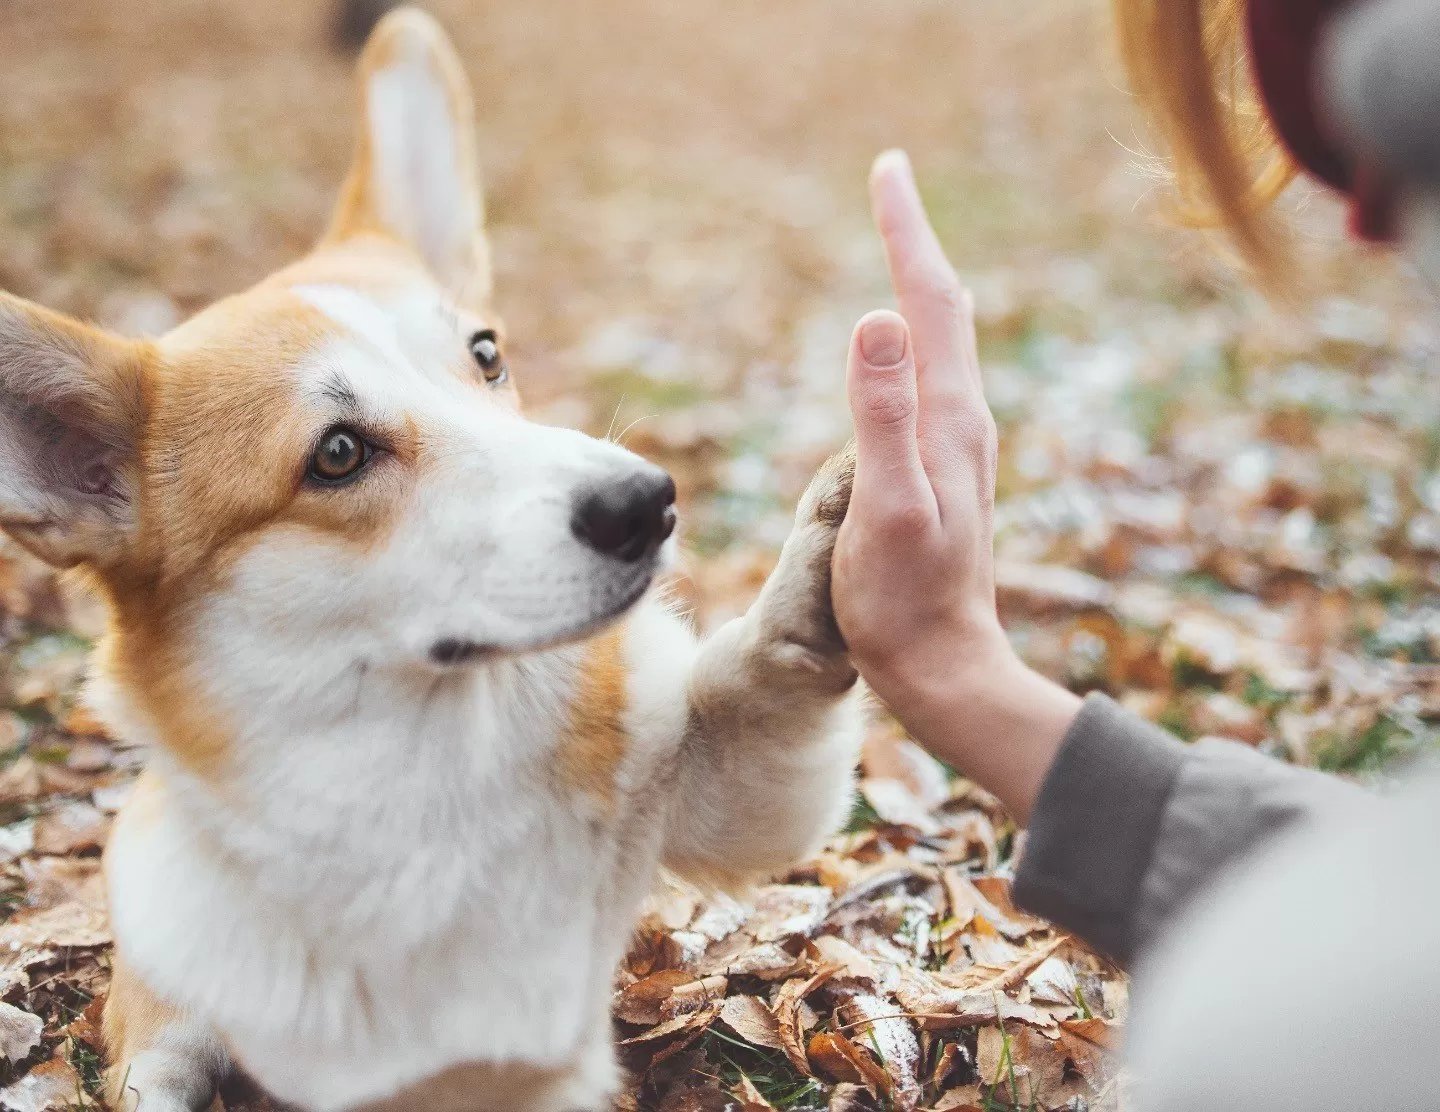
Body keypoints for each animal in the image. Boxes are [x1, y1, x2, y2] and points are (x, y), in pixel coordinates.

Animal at [0, 10, 858, 1112]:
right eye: (337, 453)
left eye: (486, 354)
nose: (648, 503)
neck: (436, 767)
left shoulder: (726, 793)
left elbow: (763, 685)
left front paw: (832, 551)